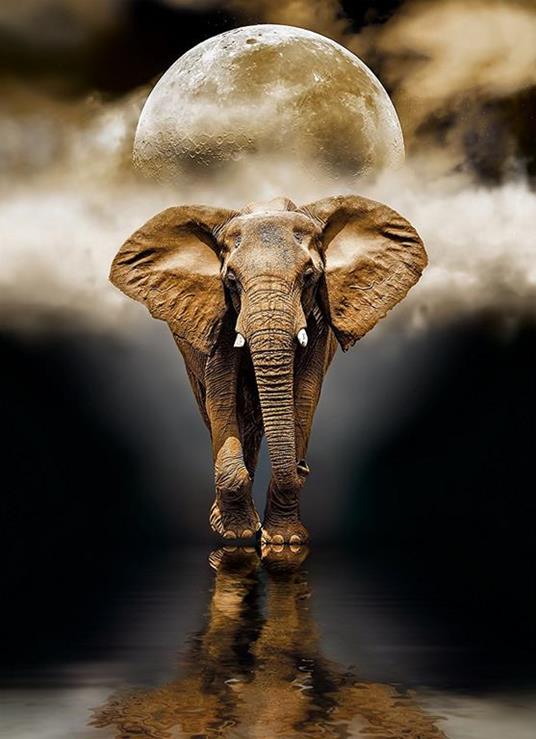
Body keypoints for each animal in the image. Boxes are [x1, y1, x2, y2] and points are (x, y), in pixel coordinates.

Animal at [110, 195, 426, 544]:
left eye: (309, 277)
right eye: (231, 280)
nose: (303, 467)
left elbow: (304, 396)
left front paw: (283, 542)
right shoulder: (221, 315)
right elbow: (221, 394)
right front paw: (236, 535)